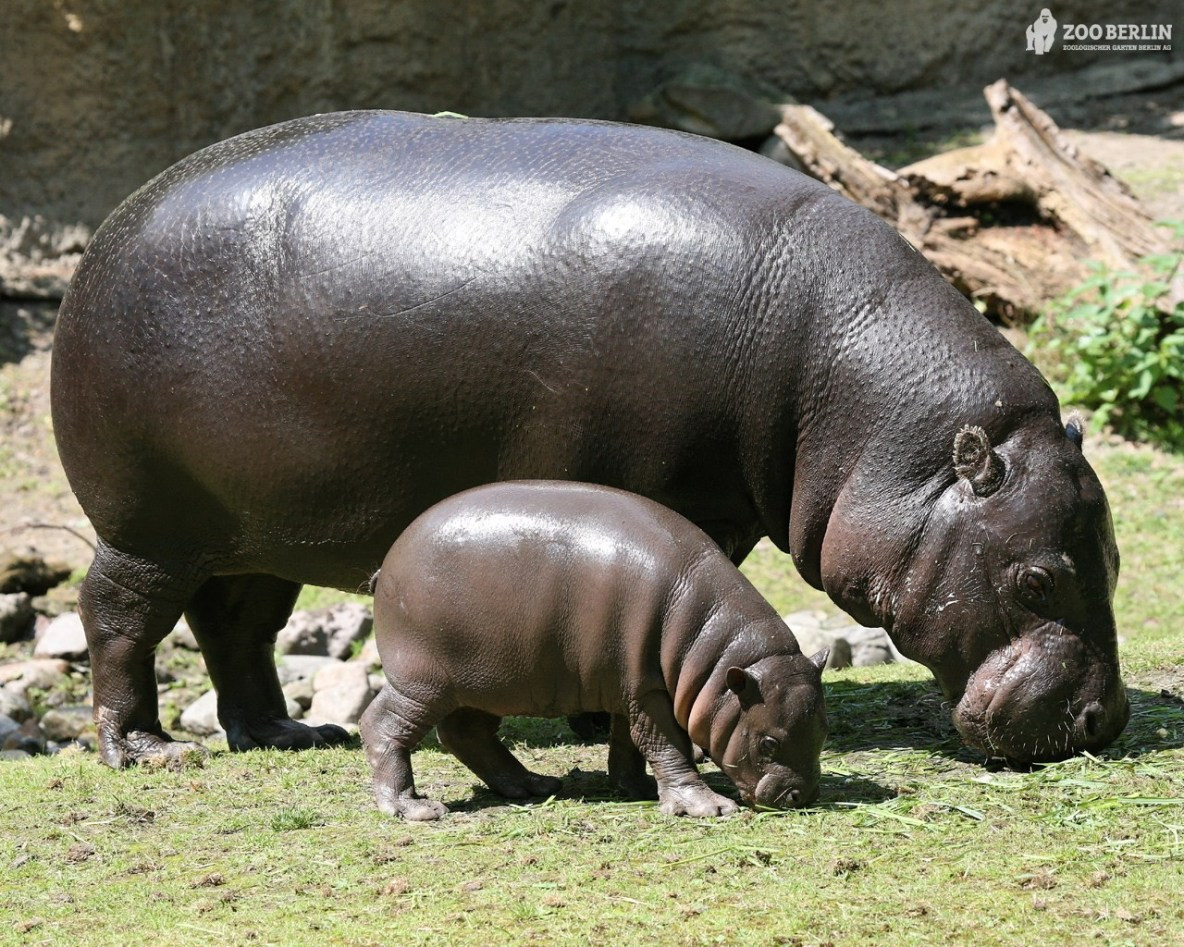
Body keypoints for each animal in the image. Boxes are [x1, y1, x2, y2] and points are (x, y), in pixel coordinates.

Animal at [50, 109, 1127, 769]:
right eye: (1036, 578)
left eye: (1111, 557)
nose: (1103, 719)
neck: (865, 414)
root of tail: (104, 233)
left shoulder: (716, 507)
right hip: (148, 523)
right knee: (119, 620)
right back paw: (146, 749)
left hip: (261, 527)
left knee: (236, 626)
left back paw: (284, 733)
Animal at [360, 481, 829, 820]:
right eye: (768, 742)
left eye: (822, 729)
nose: (800, 796)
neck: (716, 656)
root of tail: (385, 565)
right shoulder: (648, 691)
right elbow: (667, 744)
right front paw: (709, 807)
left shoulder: (634, 685)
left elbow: (630, 742)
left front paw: (638, 789)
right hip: (424, 680)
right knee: (382, 725)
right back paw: (415, 809)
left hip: (486, 684)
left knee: (466, 733)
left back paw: (535, 786)